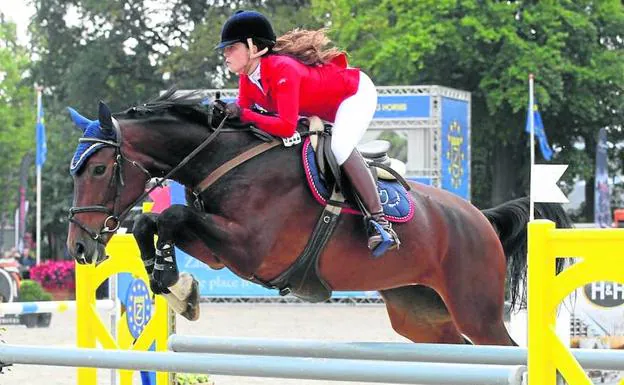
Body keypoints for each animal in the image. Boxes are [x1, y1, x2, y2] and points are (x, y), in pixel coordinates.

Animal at [64, 90, 572, 344]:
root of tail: (481, 219)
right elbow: (152, 223)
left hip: (476, 311)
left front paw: (178, 288)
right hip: (422, 316)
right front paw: (174, 286)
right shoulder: (219, 251)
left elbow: (169, 216)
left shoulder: (251, 248)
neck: (223, 159)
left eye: (98, 169)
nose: (79, 247)